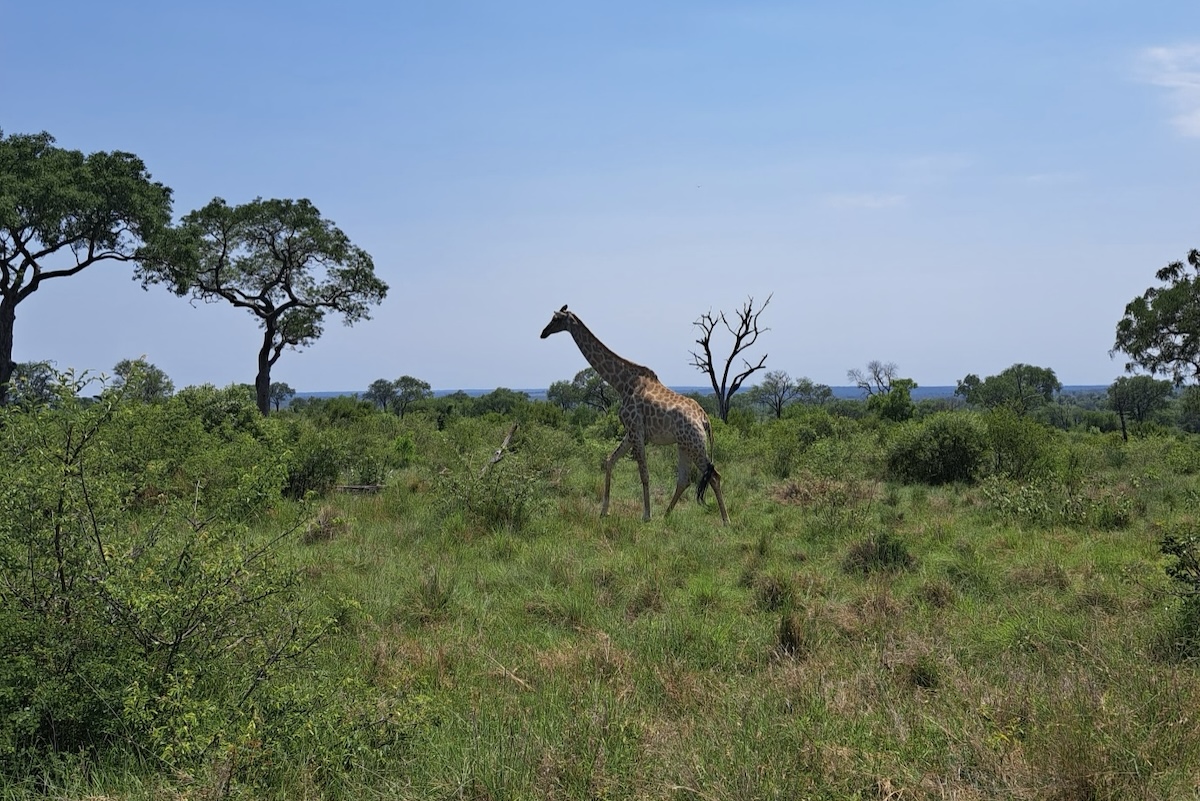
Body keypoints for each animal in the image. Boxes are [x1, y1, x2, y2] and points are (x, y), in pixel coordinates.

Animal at [540, 303, 724, 522]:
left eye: (556, 319)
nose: (543, 333)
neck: (621, 383)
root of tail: (705, 419)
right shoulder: (631, 432)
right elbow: (609, 460)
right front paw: (604, 510)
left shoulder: (636, 430)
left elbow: (644, 473)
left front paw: (646, 515)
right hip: (684, 444)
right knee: (684, 479)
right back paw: (666, 515)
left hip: (694, 443)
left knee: (714, 476)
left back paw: (726, 521)